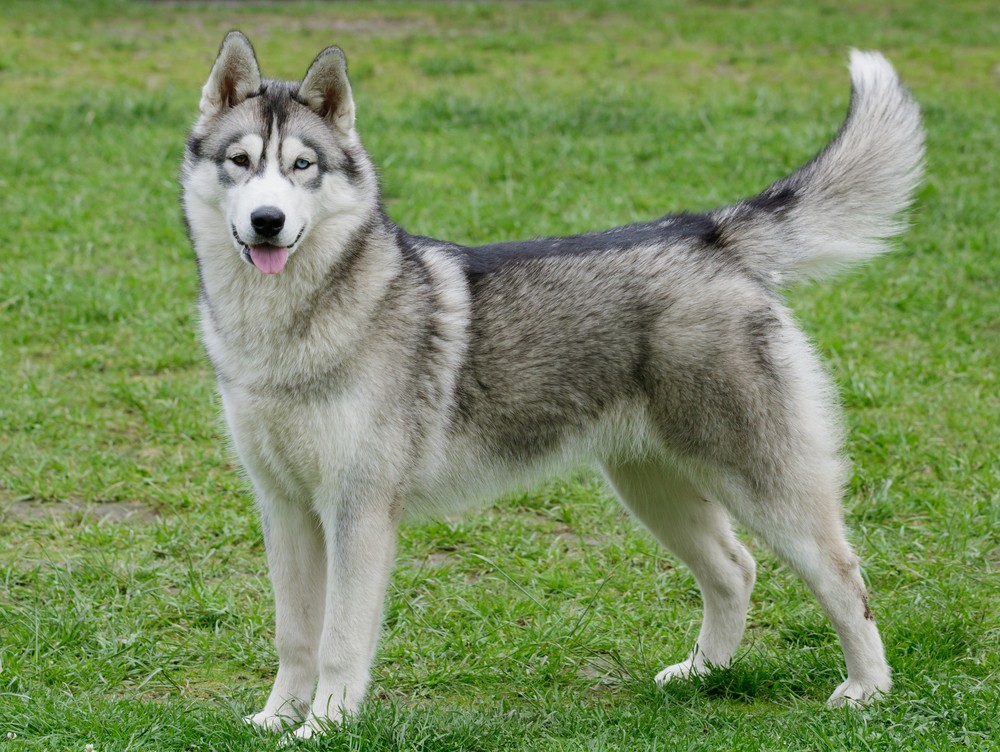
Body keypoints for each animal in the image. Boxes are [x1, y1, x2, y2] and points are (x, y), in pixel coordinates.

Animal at [184, 32, 924, 736]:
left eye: (302, 166)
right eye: (240, 162)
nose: (268, 221)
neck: (289, 330)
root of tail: (706, 234)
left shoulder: (357, 511)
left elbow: (338, 642)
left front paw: (324, 725)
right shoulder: (285, 509)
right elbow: (294, 638)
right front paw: (278, 719)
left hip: (762, 485)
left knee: (844, 578)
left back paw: (867, 689)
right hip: (651, 487)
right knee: (735, 570)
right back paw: (704, 673)